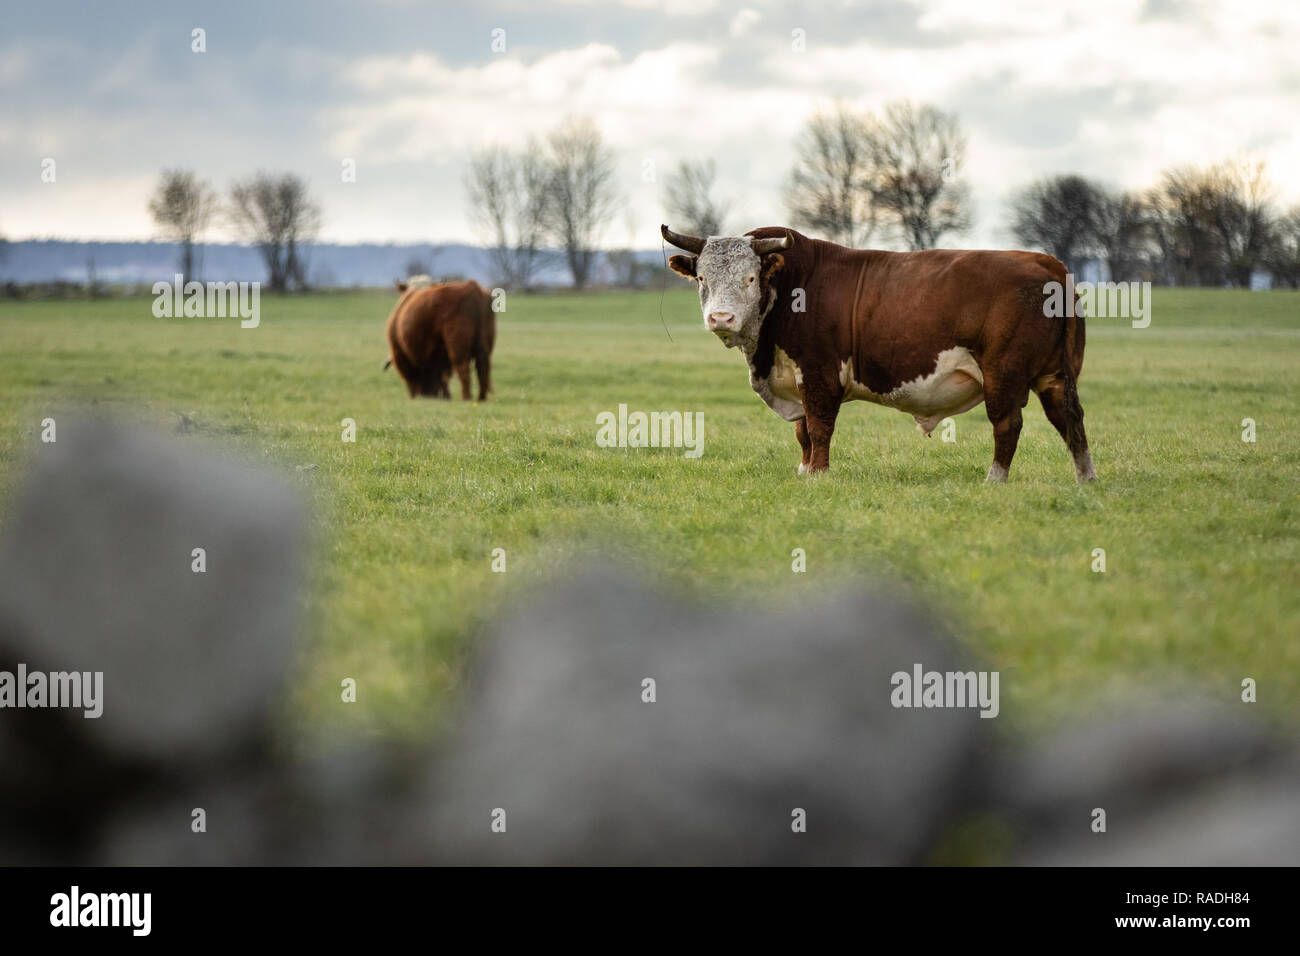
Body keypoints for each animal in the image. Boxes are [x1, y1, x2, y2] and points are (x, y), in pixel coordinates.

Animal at [661, 224, 1096, 483]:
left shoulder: (819, 373)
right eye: (702, 277)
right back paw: (1085, 479)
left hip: (1003, 373)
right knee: (1069, 419)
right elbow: (802, 432)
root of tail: (1044, 261)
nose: (721, 317)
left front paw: (818, 474)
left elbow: (818, 427)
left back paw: (995, 479)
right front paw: (803, 469)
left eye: (750, 278)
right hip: (1055, 375)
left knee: (1007, 424)